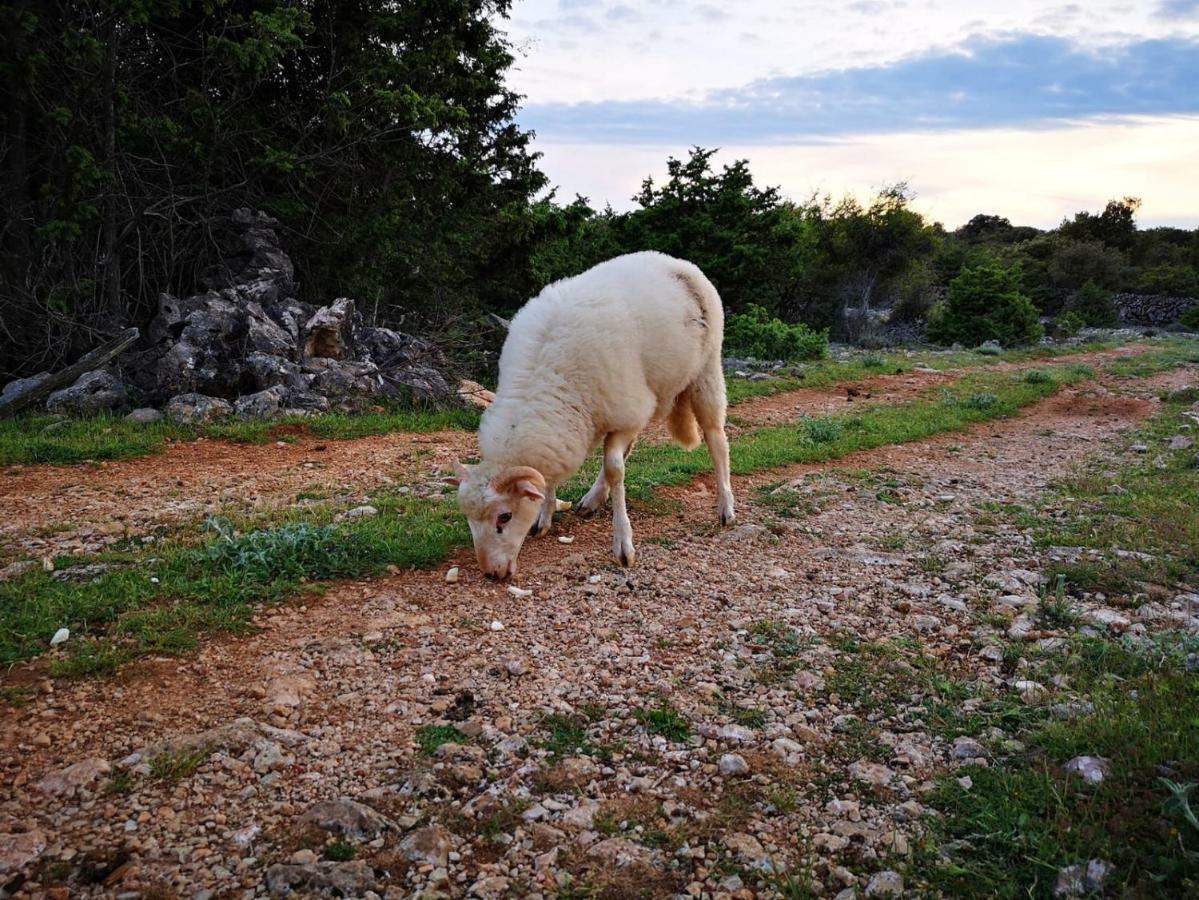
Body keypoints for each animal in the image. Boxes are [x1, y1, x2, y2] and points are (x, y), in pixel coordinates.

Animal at [450, 254, 728, 577]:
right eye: (469, 519)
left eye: (504, 517)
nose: (491, 573)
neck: (546, 381)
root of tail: (674, 261)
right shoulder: (579, 425)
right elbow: (556, 473)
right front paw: (544, 517)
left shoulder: (626, 412)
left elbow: (615, 469)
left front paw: (623, 545)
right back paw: (593, 499)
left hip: (706, 370)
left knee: (716, 438)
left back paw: (726, 506)